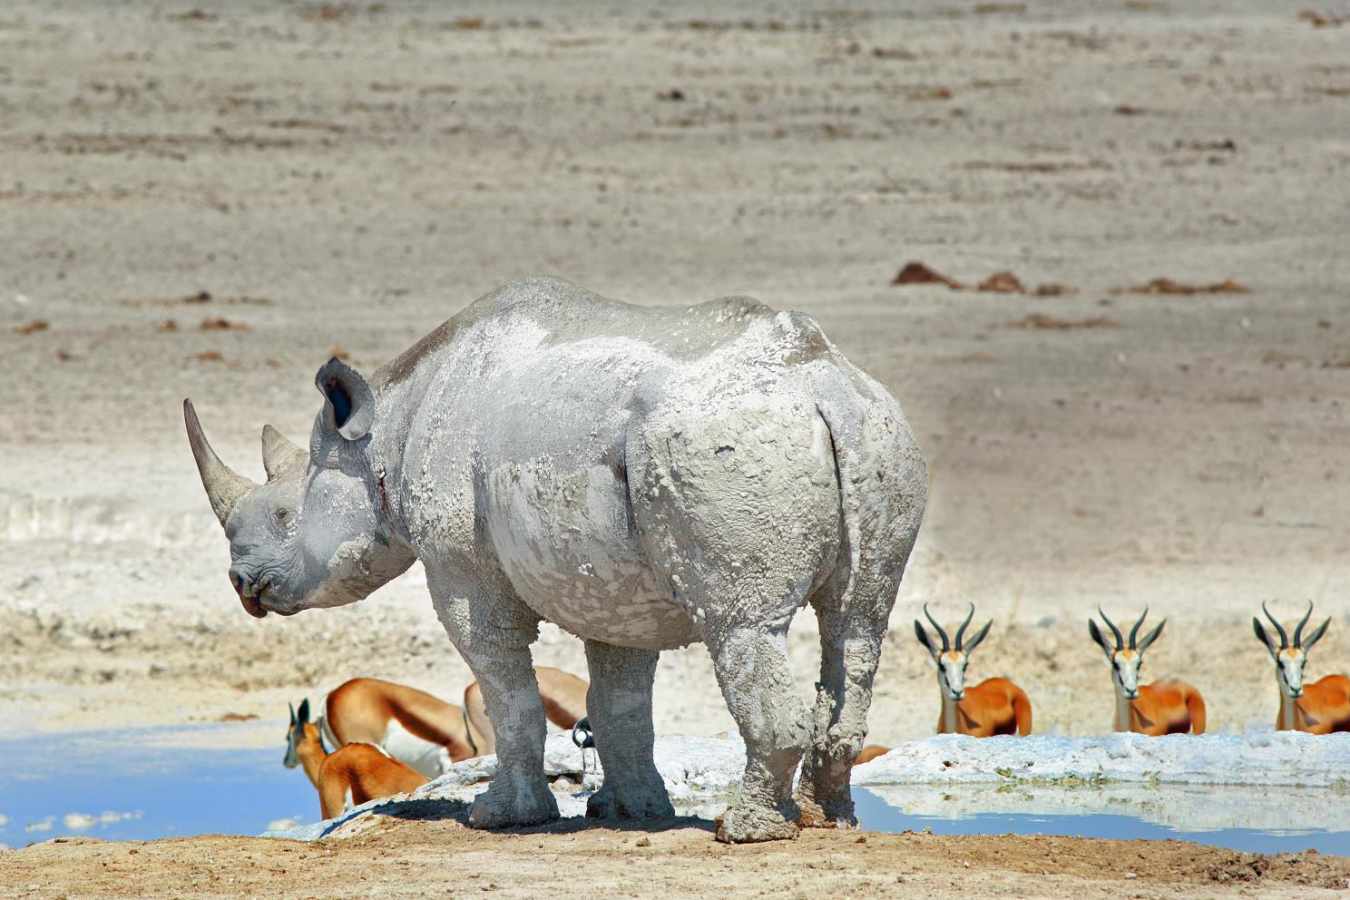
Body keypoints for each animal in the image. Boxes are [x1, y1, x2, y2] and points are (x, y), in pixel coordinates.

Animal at [184, 277, 926, 843]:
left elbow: (508, 689)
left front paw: (502, 816)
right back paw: (828, 818)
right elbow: (619, 698)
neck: (383, 433)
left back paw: (746, 831)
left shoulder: (463, 573)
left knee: (742, 625)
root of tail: (823, 386)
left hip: (725, 447)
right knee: (858, 621)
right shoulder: (617, 585)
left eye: (285, 515)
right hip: (882, 433)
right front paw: (628, 811)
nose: (243, 585)